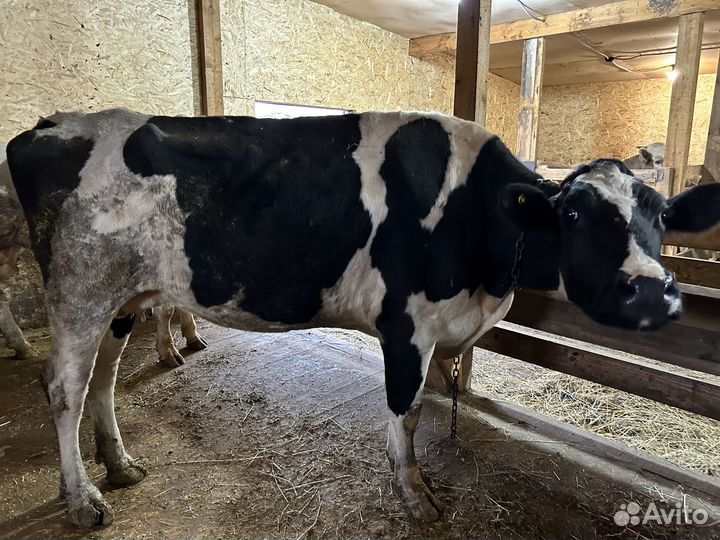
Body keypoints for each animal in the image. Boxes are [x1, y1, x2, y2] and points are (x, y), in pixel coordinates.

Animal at [6, 108, 720, 528]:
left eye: (662, 216)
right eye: (573, 214)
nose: (653, 293)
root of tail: (47, 124)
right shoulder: (407, 328)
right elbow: (406, 411)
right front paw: (415, 494)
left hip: (123, 296)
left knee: (102, 379)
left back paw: (118, 464)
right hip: (78, 290)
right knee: (64, 388)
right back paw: (83, 500)